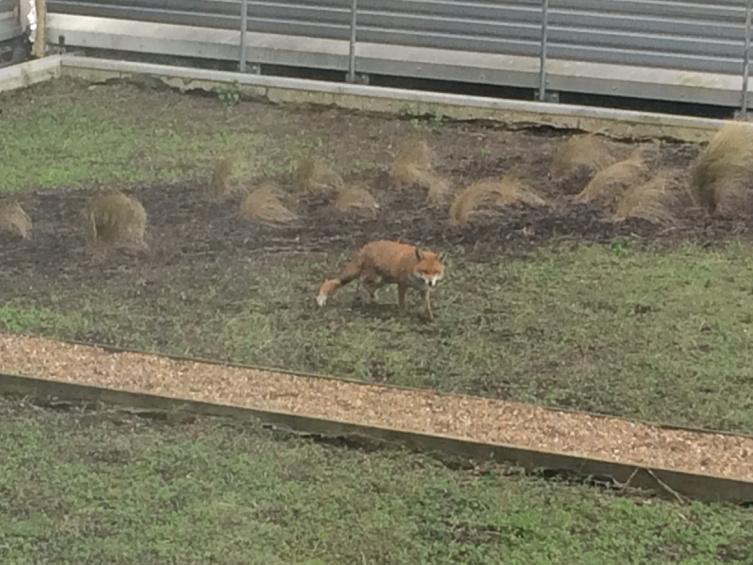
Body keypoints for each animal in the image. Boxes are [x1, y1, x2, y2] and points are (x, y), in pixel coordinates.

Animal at [317, 240, 446, 320]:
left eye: (435, 272)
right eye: (425, 271)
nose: (430, 282)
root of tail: (364, 248)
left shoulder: (424, 290)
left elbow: (427, 306)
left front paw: (428, 318)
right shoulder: (402, 284)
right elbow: (402, 303)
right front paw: (403, 314)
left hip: (383, 281)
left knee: (366, 286)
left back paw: (372, 299)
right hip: (375, 278)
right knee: (362, 282)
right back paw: (367, 298)